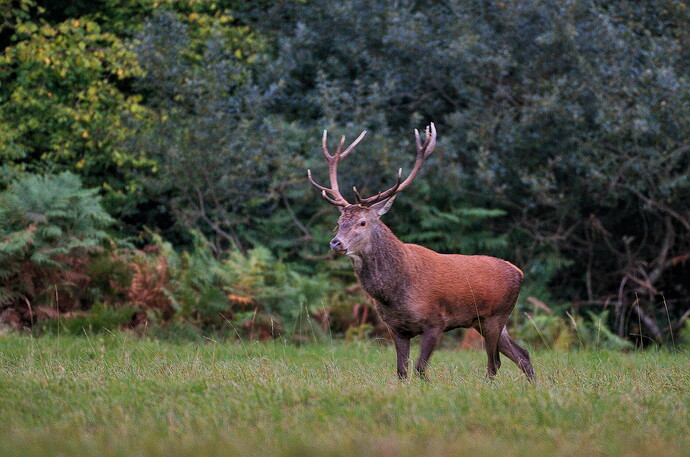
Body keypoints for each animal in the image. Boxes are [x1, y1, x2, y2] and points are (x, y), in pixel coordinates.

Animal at [307, 123, 535, 381]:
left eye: (362, 222)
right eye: (339, 222)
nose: (335, 243)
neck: (394, 292)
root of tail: (519, 272)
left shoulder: (435, 322)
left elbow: (420, 368)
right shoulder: (396, 328)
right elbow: (402, 371)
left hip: (495, 316)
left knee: (494, 362)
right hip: (484, 320)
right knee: (522, 354)